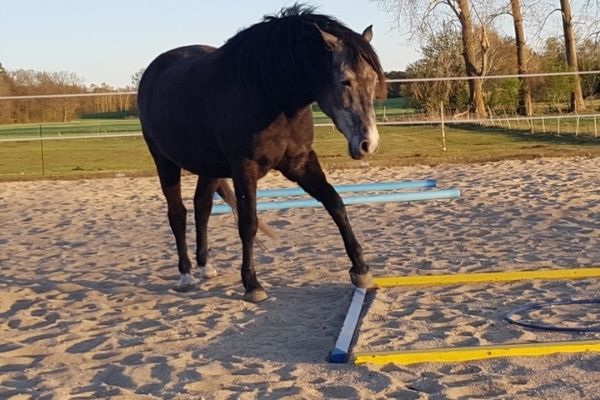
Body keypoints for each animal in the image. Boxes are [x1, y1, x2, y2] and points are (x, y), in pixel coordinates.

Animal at [138, 3, 386, 304]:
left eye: (372, 80)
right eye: (345, 81)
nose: (368, 143)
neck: (267, 91)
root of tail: (153, 71)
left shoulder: (300, 162)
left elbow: (335, 203)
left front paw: (361, 270)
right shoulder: (245, 168)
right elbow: (248, 223)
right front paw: (252, 284)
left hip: (209, 168)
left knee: (202, 207)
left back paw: (206, 267)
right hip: (164, 162)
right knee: (178, 213)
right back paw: (186, 276)